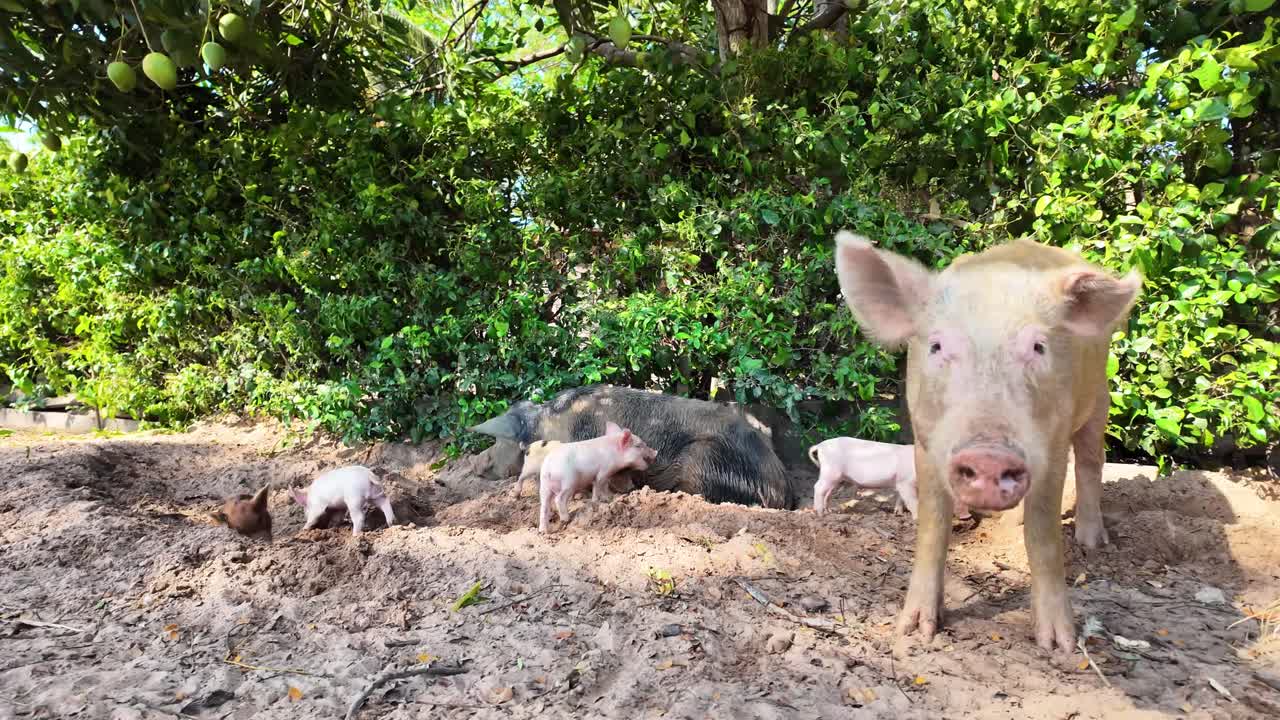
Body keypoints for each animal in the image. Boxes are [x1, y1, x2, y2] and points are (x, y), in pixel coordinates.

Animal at [807, 438, 972, 520]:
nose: (968, 516)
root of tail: (820, 446)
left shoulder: (900, 482)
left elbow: (900, 497)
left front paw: (898, 513)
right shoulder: (906, 481)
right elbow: (912, 501)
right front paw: (917, 519)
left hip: (835, 476)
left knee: (827, 492)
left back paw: (829, 511)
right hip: (830, 471)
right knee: (817, 487)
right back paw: (819, 514)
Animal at [833, 231, 1140, 653]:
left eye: (1038, 347)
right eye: (937, 346)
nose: (990, 457)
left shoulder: (1053, 443)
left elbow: (1043, 534)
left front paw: (1058, 645)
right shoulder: (925, 440)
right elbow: (932, 525)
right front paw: (913, 630)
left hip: (1100, 397)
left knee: (1092, 462)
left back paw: (1093, 543)